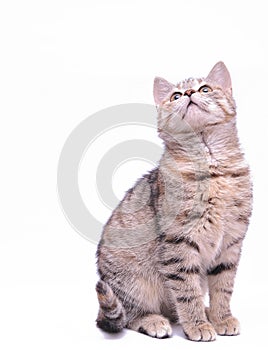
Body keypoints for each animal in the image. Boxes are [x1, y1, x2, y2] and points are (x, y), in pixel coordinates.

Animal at [95, 61, 252, 340]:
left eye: (205, 88)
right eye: (175, 96)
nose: (189, 93)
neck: (210, 167)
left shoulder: (231, 243)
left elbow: (224, 288)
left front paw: (221, 318)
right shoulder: (179, 244)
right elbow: (187, 292)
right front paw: (198, 325)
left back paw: (206, 312)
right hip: (133, 283)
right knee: (129, 315)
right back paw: (155, 321)